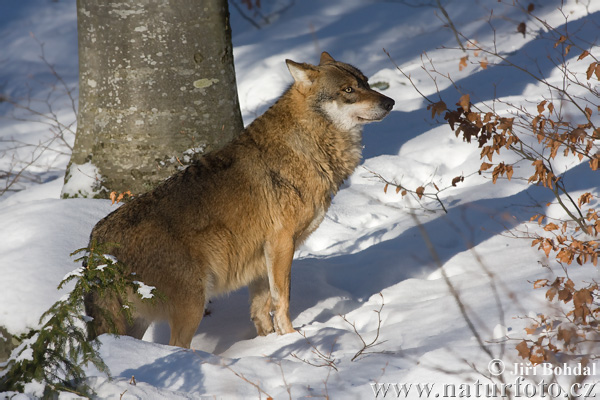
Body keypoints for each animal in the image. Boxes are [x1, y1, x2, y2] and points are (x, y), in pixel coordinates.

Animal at [84, 52, 394, 346]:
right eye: (348, 89)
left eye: (366, 83)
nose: (390, 102)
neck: (307, 145)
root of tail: (98, 243)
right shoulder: (282, 243)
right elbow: (282, 300)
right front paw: (292, 338)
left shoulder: (261, 258)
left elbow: (261, 309)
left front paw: (267, 344)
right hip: (193, 305)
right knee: (175, 346)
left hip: (137, 322)